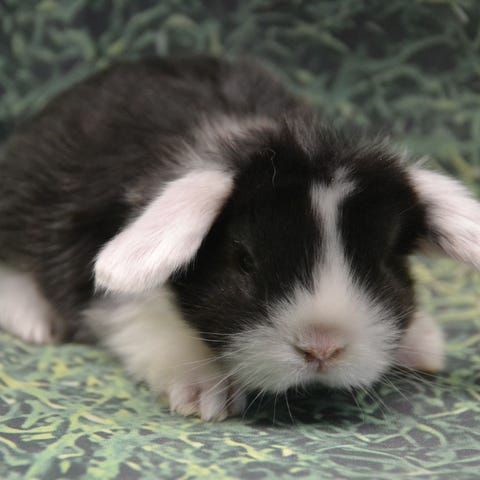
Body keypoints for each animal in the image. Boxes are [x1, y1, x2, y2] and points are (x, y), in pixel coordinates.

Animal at [0, 56, 479, 421]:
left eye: (382, 264)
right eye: (244, 260)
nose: (322, 348)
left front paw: (424, 344)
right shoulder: (113, 297)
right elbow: (151, 324)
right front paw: (205, 394)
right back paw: (35, 322)